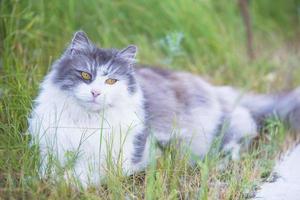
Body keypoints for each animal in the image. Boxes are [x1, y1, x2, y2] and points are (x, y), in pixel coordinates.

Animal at [28, 30, 300, 186]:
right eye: (85, 75)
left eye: (111, 81)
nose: (96, 93)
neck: (87, 122)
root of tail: (213, 89)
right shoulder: (50, 149)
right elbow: (45, 170)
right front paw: (41, 181)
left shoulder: (118, 160)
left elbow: (77, 175)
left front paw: (57, 183)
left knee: (237, 141)